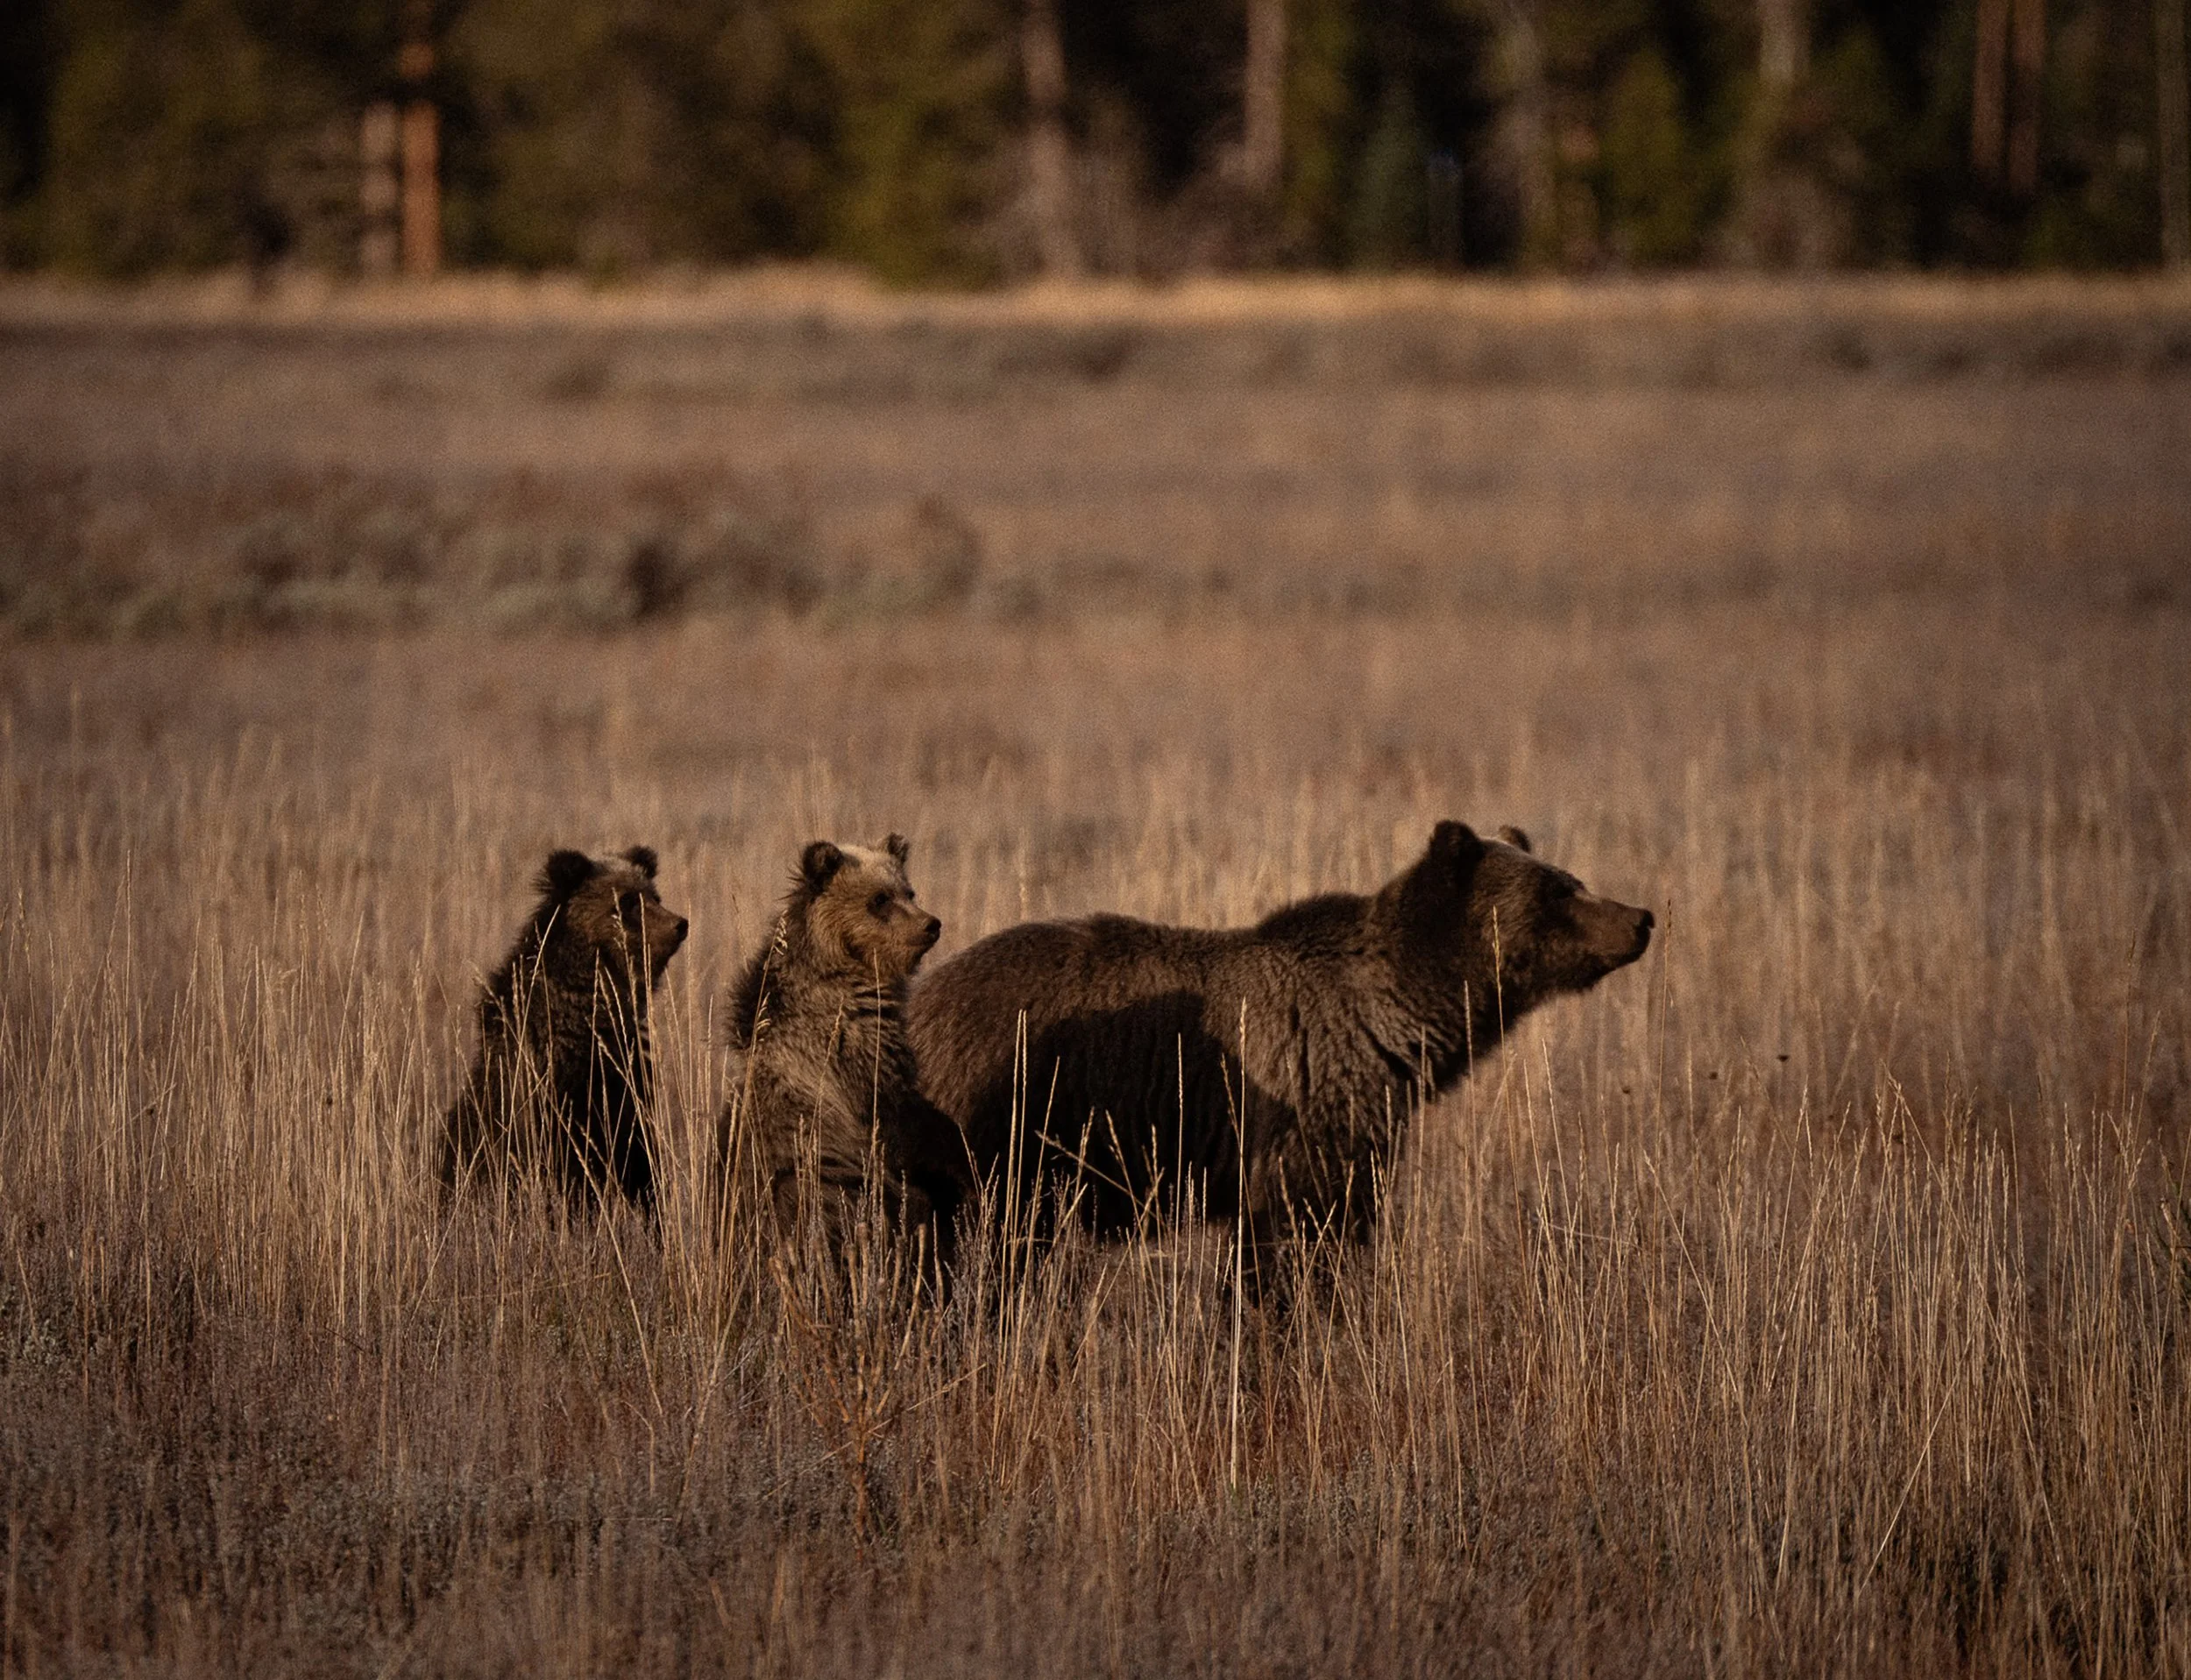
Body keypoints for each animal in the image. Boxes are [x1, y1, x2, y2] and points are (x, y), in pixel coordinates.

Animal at [439, 845, 688, 1216]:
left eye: (654, 896)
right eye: (626, 902)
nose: (679, 924)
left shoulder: (628, 1080)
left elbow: (639, 1159)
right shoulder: (551, 1092)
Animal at [905, 821, 1652, 1287]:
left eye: (1570, 876)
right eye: (1558, 890)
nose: (1641, 917)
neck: (1392, 1020)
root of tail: (921, 1000)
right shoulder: (1302, 1110)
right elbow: (1293, 1241)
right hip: (999, 1130)